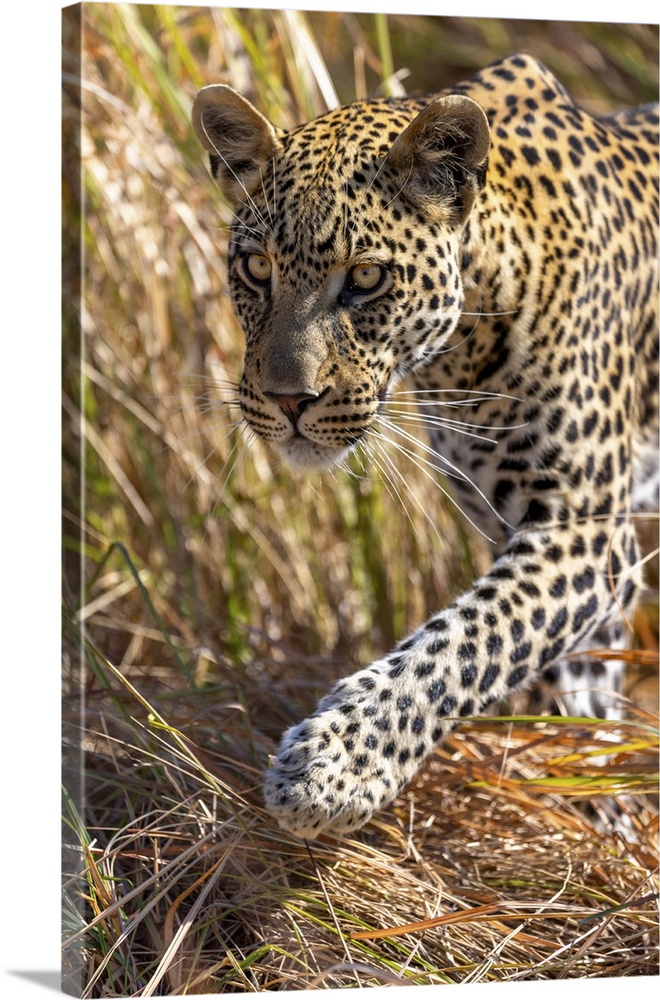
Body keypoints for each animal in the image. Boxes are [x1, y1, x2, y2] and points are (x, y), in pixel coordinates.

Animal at [192, 53, 659, 840]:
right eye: (257, 269)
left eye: (367, 277)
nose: (288, 401)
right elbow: (570, 673)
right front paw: (596, 791)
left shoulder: (586, 530)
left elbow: (467, 641)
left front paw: (334, 769)